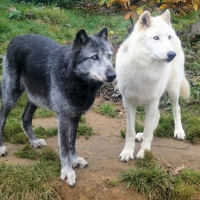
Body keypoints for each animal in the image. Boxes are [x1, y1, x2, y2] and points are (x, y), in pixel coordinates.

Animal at [115, 9, 190, 162]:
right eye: (156, 38)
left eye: (168, 37)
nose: (172, 54)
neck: (145, 67)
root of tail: (176, 33)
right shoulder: (129, 103)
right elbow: (130, 132)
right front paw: (127, 152)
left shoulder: (152, 101)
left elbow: (149, 132)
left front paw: (144, 152)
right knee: (158, 114)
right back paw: (140, 135)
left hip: (173, 89)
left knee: (176, 109)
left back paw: (179, 132)